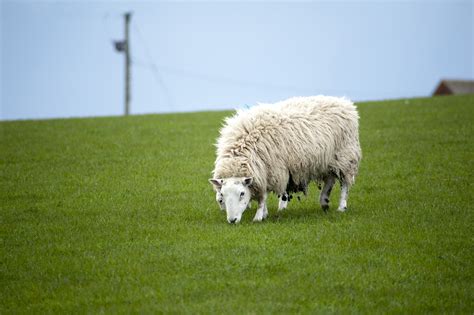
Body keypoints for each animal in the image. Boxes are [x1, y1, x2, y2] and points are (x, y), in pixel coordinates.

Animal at [209, 96, 362, 225]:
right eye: (222, 195)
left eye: (242, 193)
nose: (232, 220)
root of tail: (344, 103)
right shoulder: (264, 171)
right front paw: (264, 213)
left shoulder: (270, 169)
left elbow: (262, 196)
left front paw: (259, 216)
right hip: (327, 160)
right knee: (330, 179)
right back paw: (324, 201)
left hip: (345, 156)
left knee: (344, 183)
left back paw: (341, 206)